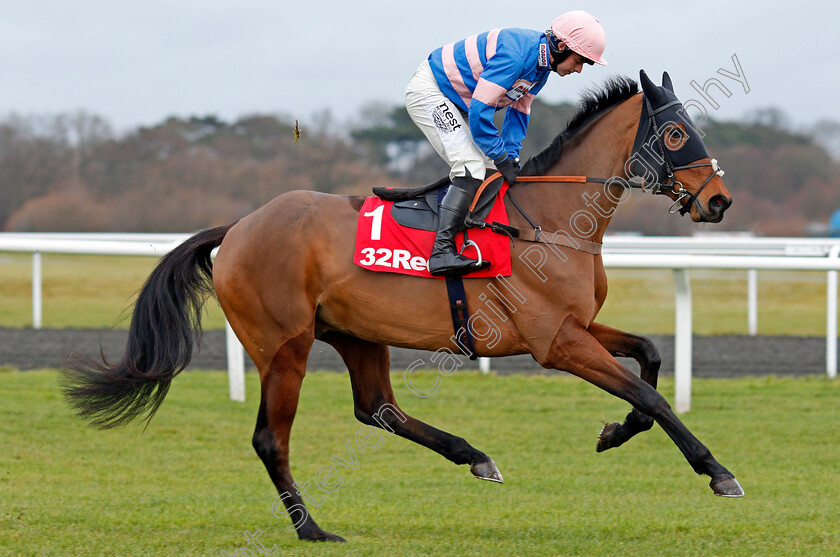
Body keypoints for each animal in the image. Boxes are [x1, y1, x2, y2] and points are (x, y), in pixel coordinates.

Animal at [62, 70, 740, 544]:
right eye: (677, 133)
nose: (719, 201)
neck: (547, 220)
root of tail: (239, 227)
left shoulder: (577, 325)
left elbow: (650, 357)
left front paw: (615, 432)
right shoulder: (555, 342)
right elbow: (648, 391)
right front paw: (716, 470)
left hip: (358, 334)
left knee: (377, 409)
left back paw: (474, 456)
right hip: (284, 347)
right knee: (271, 438)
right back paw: (312, 528)